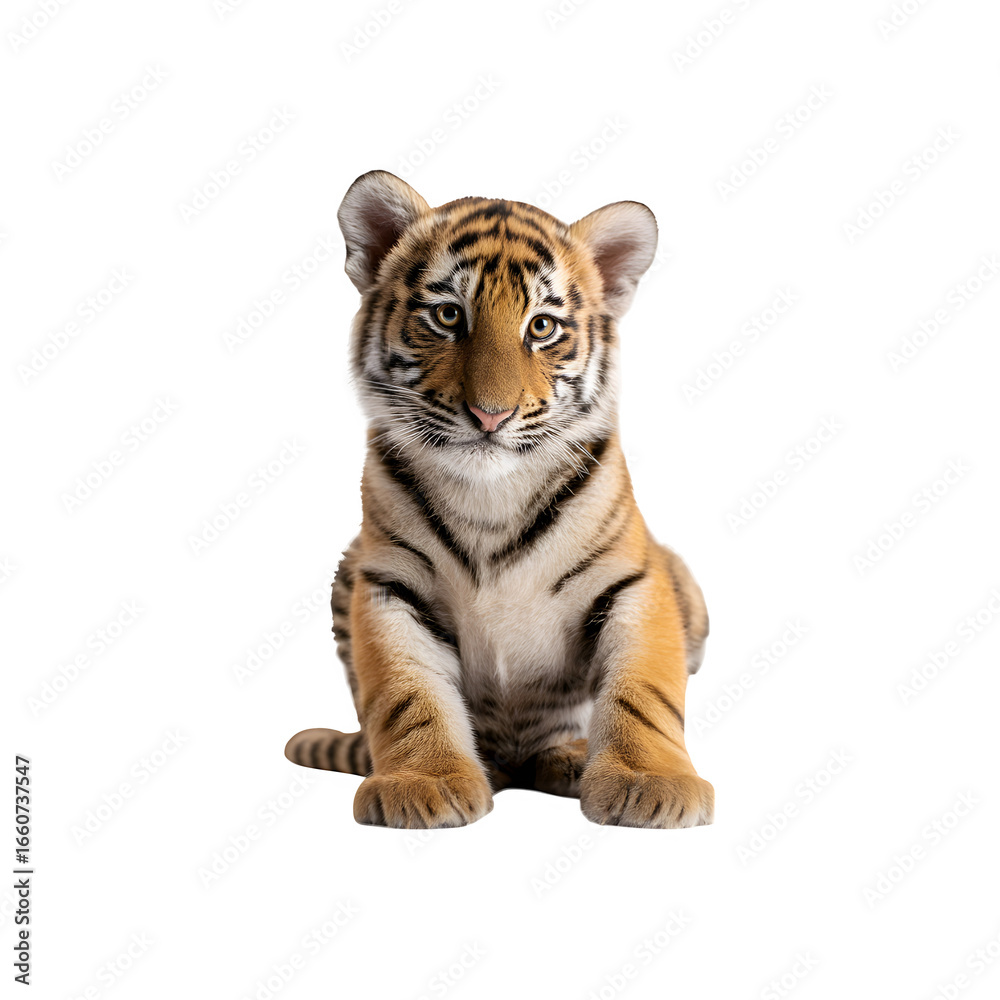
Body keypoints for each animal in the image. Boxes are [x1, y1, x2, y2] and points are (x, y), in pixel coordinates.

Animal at [284, 170, 713, 829]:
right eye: (446, 315)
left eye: (541, 327)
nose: (491, 414)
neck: (491, 495)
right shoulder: (387, 581)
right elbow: (407, 693)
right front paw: (426, 781)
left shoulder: (635, 579)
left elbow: (644, 688)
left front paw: (649, 782)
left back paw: (571, 758)